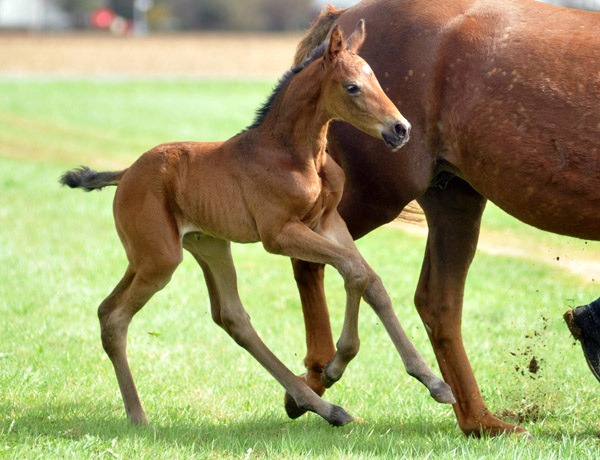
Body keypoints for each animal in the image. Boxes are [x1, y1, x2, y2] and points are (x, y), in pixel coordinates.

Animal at [62, 20, 454, 424]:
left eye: (376, 78)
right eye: (352, 87)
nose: (400, 129)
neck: (295, 155)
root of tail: (126, 174)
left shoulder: (328, 223)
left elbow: (370, 280)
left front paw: (434, 382)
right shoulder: (279, 234)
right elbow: (354, 271)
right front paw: (336, 364)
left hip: (202, 247)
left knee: (228, 317)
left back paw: (322, 407)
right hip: (160, 259)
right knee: (115, 317)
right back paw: (138, 415)